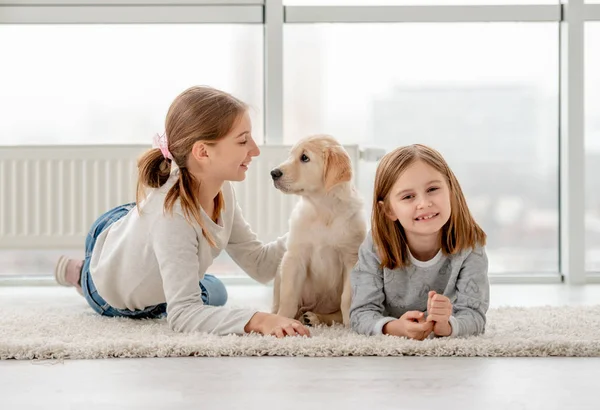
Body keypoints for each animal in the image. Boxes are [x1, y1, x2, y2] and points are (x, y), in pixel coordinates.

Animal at [270, 135, 366, 326]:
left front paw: (351, 326)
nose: (273, 173)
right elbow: (289, 296)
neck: (323, 209)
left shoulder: (351, 258)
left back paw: (314, 318)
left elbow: (347, 298)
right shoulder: (295, 256)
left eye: (304, 157)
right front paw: (282, 320)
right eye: (290, 155)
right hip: (280, 271)